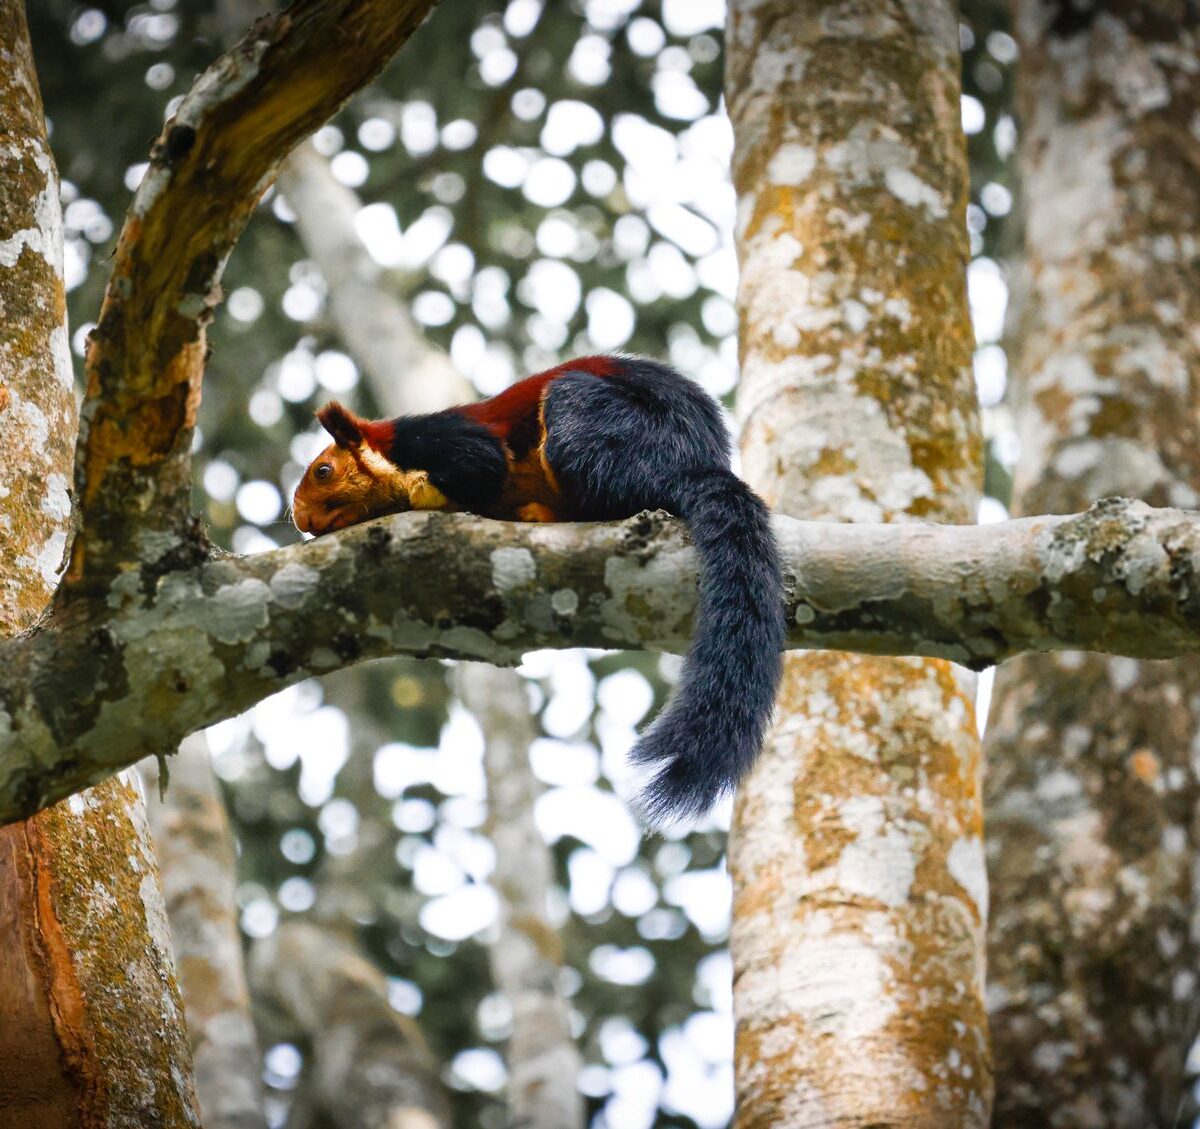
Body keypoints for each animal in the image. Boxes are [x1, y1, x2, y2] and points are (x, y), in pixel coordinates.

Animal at [292, 354, 784, 824]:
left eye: (323, 471)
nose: (300, 519)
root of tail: (696, 462)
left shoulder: (441, 439)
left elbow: (484, 463)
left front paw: (422, 490)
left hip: (609, 429)